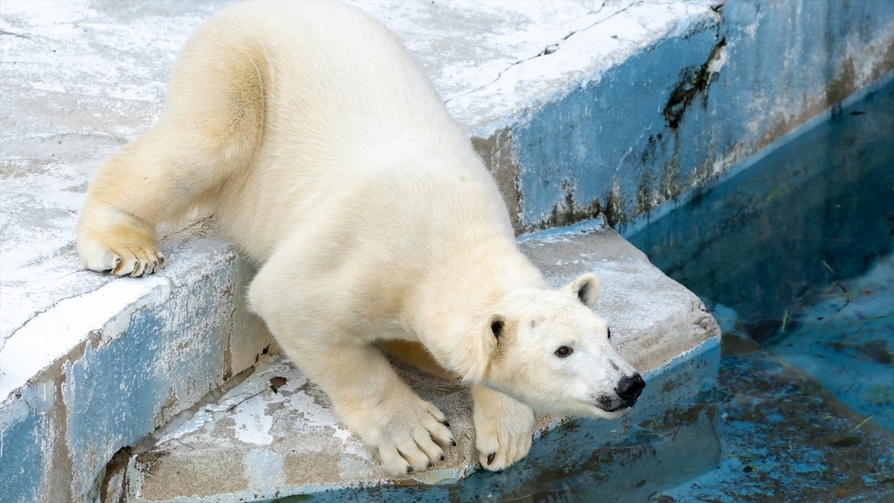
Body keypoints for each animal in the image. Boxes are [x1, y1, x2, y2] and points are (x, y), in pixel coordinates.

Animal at [77, 0, 648, 476]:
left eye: (607, 331)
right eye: (562, 350)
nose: (629, 383)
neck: (450, 237)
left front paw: (502, 436)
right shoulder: (360, 257)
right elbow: (294, 307)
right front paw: (417, 435)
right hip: (237, 64)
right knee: (205, 142)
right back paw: (124, 242)